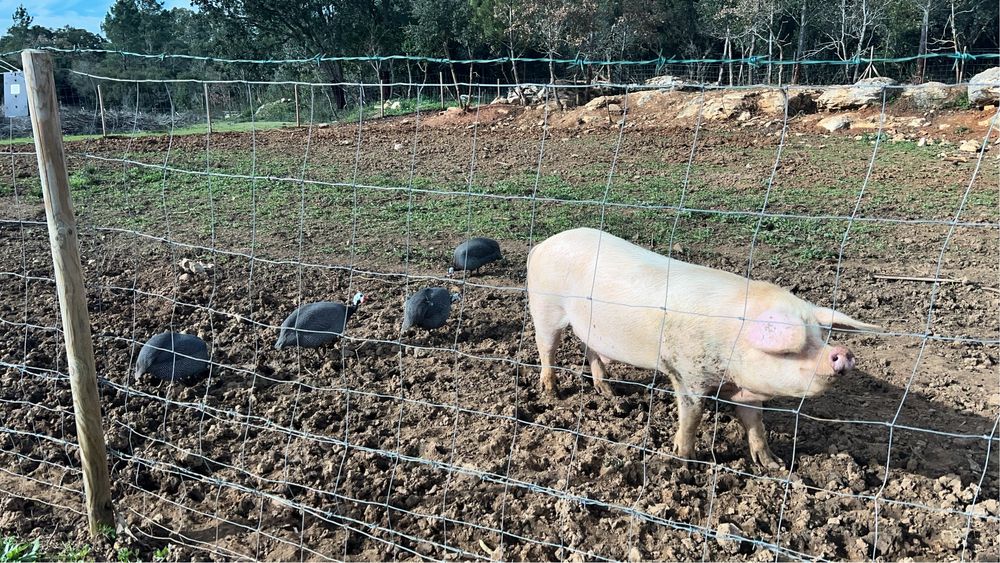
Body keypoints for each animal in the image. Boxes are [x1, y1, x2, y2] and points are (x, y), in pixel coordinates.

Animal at [528, 227, 880, 470]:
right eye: (794, 347)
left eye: (819, 336)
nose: (843, 352)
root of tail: (542, 245)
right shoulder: (687, 373)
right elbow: (692, 416)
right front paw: (684, 461)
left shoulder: (744, 390)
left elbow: (756, 424)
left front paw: (774, 465)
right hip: (545, 309)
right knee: (547, 350)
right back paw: (552, 393)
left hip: (588, 326)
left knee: (591, 351)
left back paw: (609, 392)